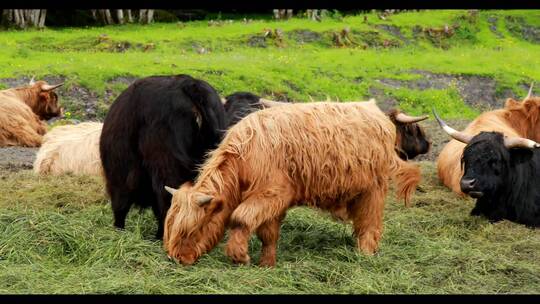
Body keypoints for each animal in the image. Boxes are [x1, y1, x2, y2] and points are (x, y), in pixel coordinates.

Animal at [162, 101, 420, 266]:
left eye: (191, 230)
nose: (176, 257)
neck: (244, 156)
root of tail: (376, 111)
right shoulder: (272, 202)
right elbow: (267, 233)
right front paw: (267, 264)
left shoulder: (273, 193)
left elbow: (241, 217)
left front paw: (239, 257)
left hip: (373, 188)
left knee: (370, 222)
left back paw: (364, 254)